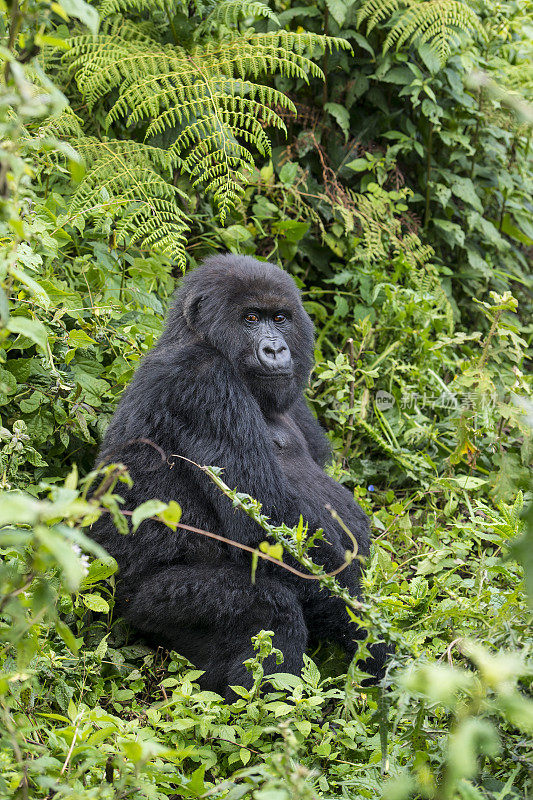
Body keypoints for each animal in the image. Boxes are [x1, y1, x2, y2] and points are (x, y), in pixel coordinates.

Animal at [89, 253, 384, 696]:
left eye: (279, 318)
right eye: (250, 318)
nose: (275, 348)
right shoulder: (202, 380)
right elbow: (266, 533)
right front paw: (371, 635)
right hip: (140, 608)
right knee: (271, 608)